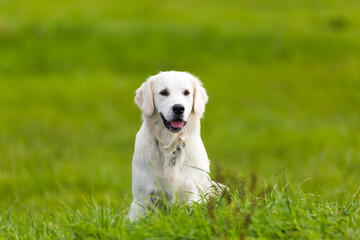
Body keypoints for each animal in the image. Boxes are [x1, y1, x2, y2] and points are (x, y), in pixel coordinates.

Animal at [129, 70, 219, 220]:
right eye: (164, 92)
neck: (170, 146)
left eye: (186, 92)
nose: (178, 108)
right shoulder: (142, 196)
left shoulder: (191, 191)